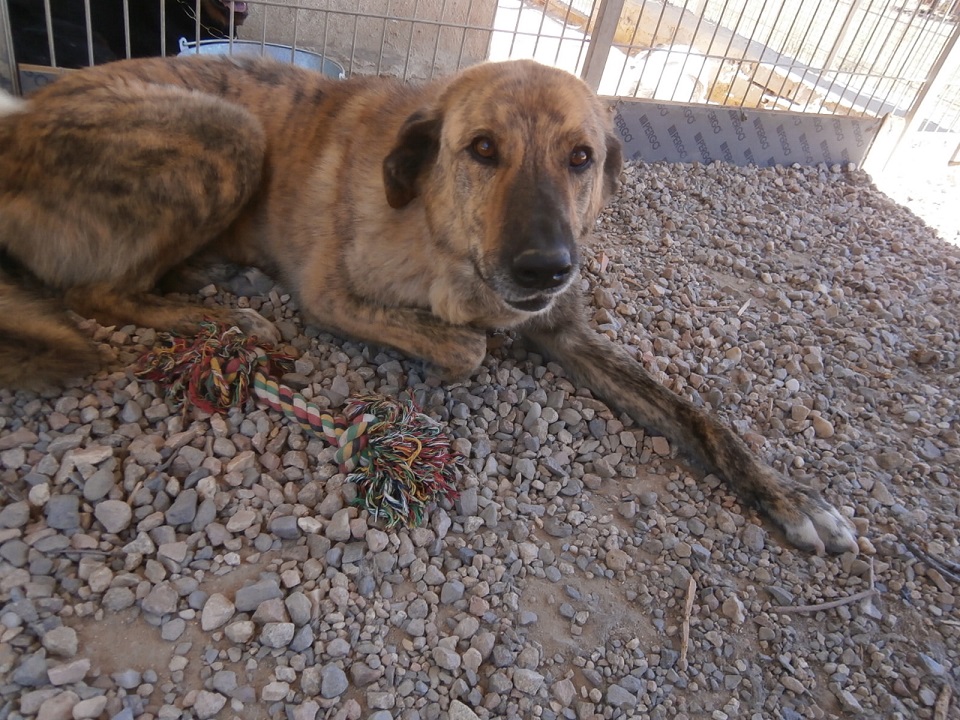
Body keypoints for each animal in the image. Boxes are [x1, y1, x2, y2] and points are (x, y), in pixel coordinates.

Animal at [0, 53, 860, 556]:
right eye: (482, 149)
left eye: (581, 159)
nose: (547, 268)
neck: (443, 232)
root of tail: (19, 121)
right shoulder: (331, 295)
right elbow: (466, 347)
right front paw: (467, 339)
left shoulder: (566, 329)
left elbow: (695, 413)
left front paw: (791, 500)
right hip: (227, 127)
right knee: (93, 292)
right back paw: (213, 315)